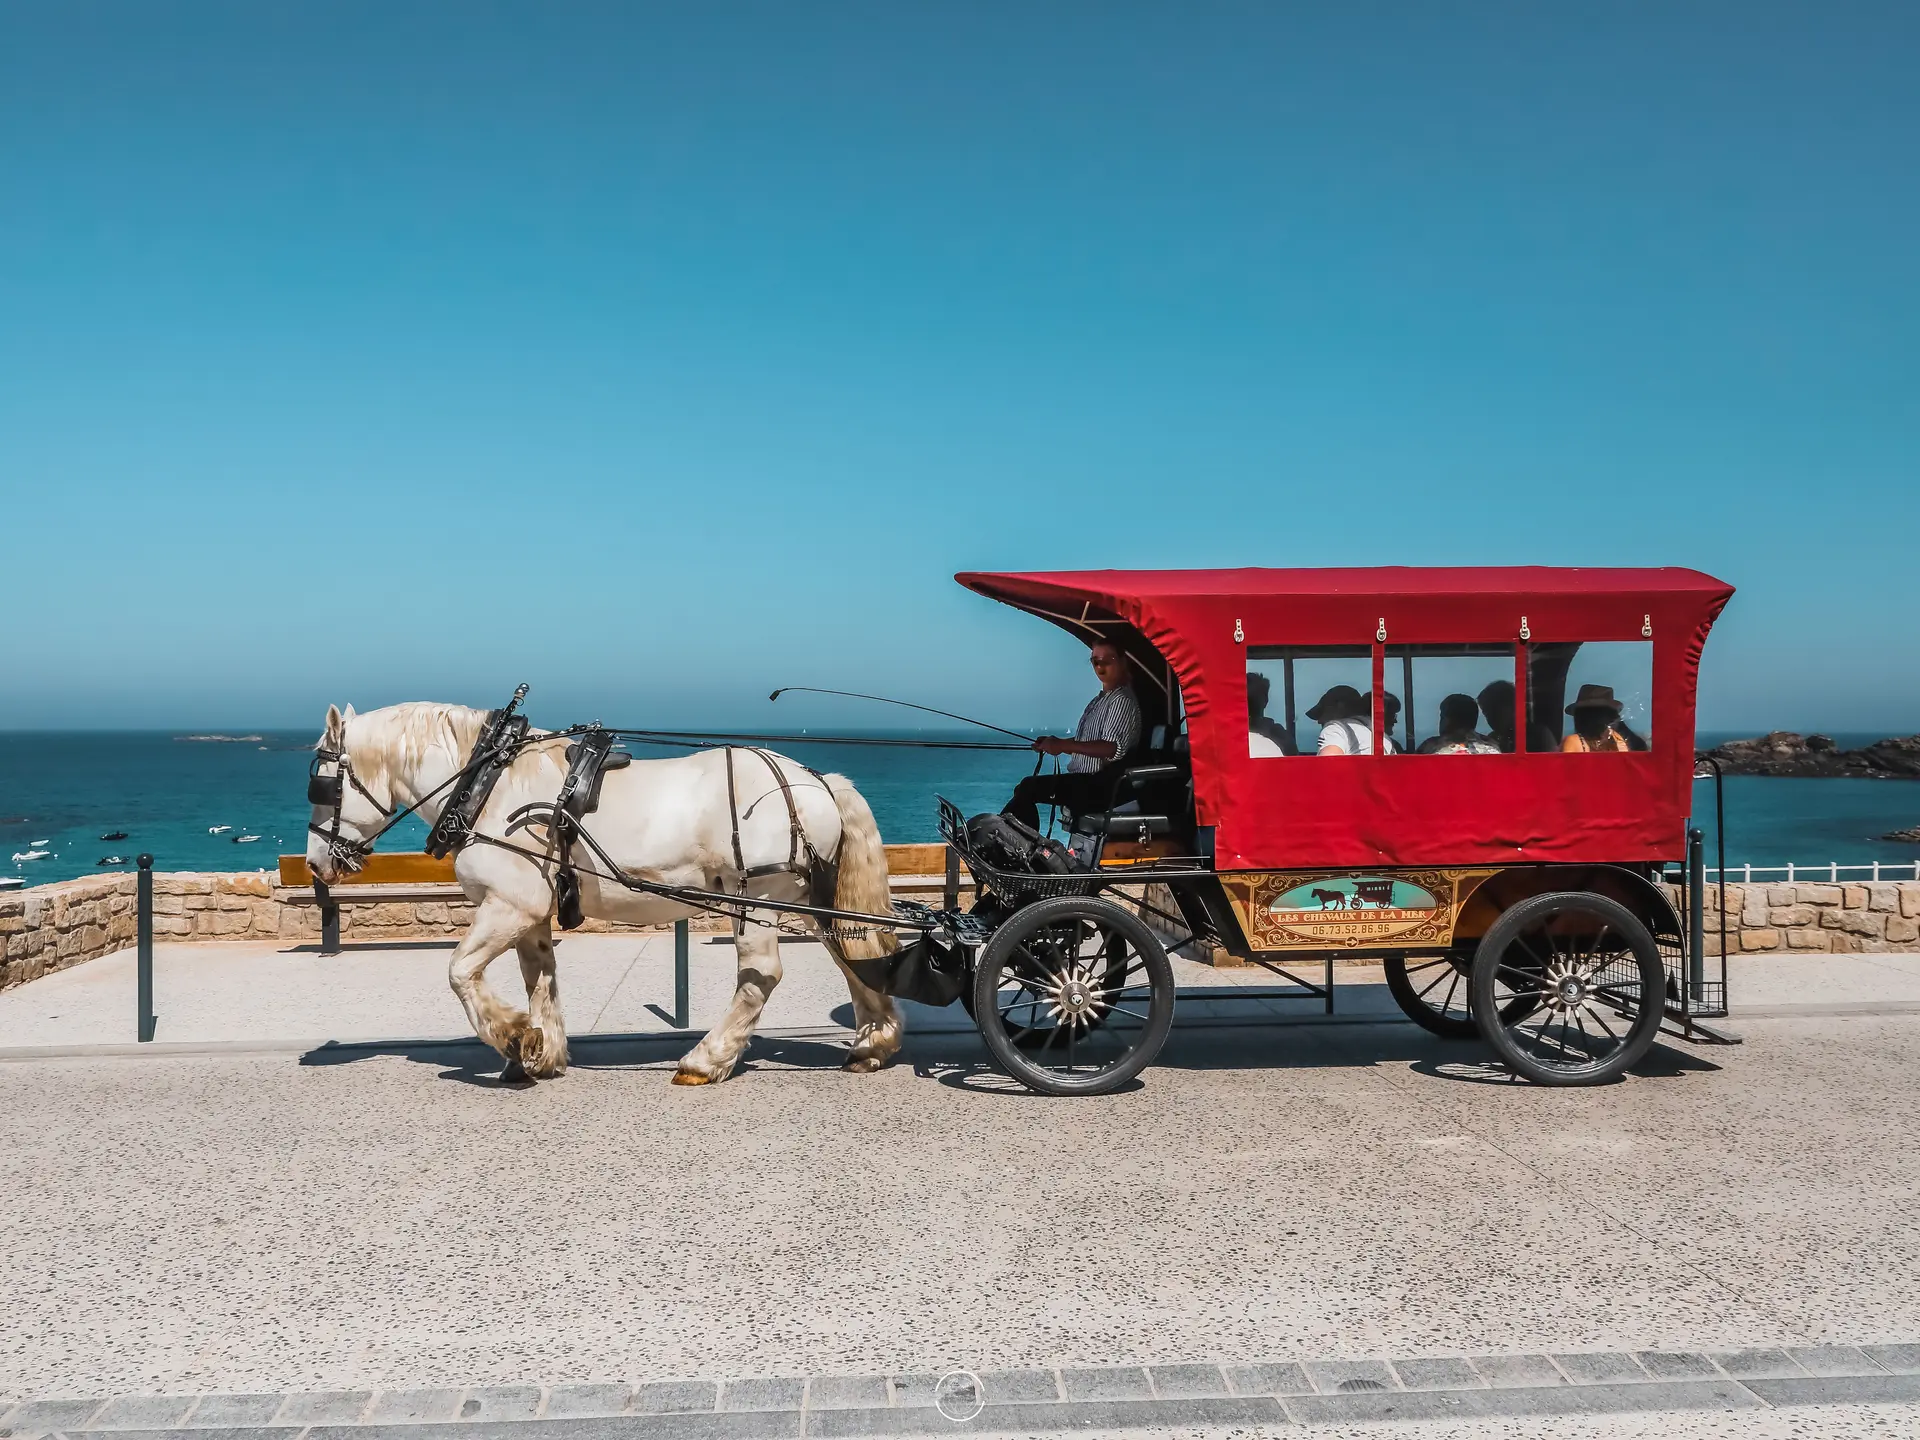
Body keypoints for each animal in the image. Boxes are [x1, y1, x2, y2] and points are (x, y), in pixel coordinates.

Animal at [305, 701, 903, 1085]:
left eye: (322, 785)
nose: (314, 864)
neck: (486, 783)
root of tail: (815, 780)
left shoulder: (509, 905)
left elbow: (459, 972)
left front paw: (514, 1038)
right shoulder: (531, 914)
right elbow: (540, 980)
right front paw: (539, 1053)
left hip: (756, 893)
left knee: (763, 975)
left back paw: (706, 1060)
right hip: (809, 898)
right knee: (854, 955)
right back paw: (873, 1044)